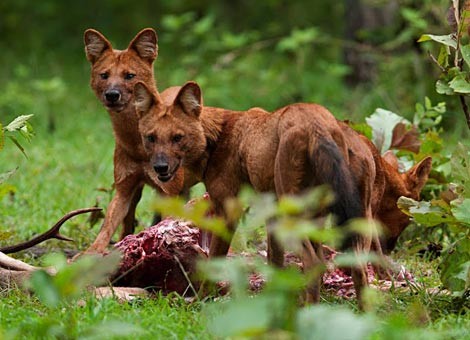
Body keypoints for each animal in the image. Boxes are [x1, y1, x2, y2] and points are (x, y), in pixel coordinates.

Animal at [83, 28, 183, 252]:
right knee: (128, 223)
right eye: (104, 75)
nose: (112, 94)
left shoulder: (170, 191)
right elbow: (107, 225)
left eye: (129, 76)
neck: (138, 146)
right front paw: (91, 253)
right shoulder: (124, 187)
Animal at [133, 81, 378, 308]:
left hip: (296, 215)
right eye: (151, 138)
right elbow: (274, 261)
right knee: (358, 267)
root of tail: (318, 124)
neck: (217, 138)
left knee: (314, 262)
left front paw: (199, 301)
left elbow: (214, 261)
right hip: (350, 218)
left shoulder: (228, 210)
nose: (160, 167)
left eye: (177, 137)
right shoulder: (273, 214)